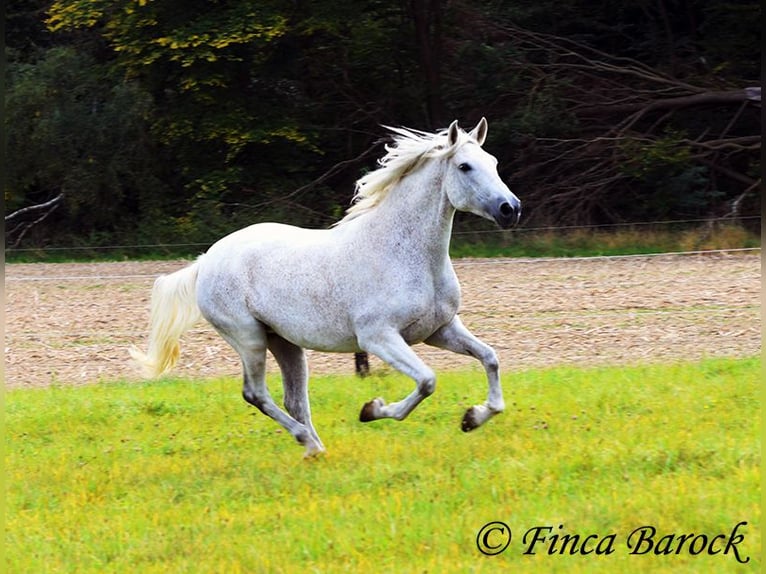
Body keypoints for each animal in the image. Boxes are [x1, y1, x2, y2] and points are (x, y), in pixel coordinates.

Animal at [132, 118, 520, 460]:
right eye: (465, 166)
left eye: (493, 162)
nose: (510, 209)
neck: (404, 253)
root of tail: (206, 260)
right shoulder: (378, 338)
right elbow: (427, 380)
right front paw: (372, 409)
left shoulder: (440, 329)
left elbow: (490, 358)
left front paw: (473, 418)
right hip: (249, 338)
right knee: (256, 394)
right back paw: (307, 441)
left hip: (284, 342)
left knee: (294, 398)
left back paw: (315, 449)